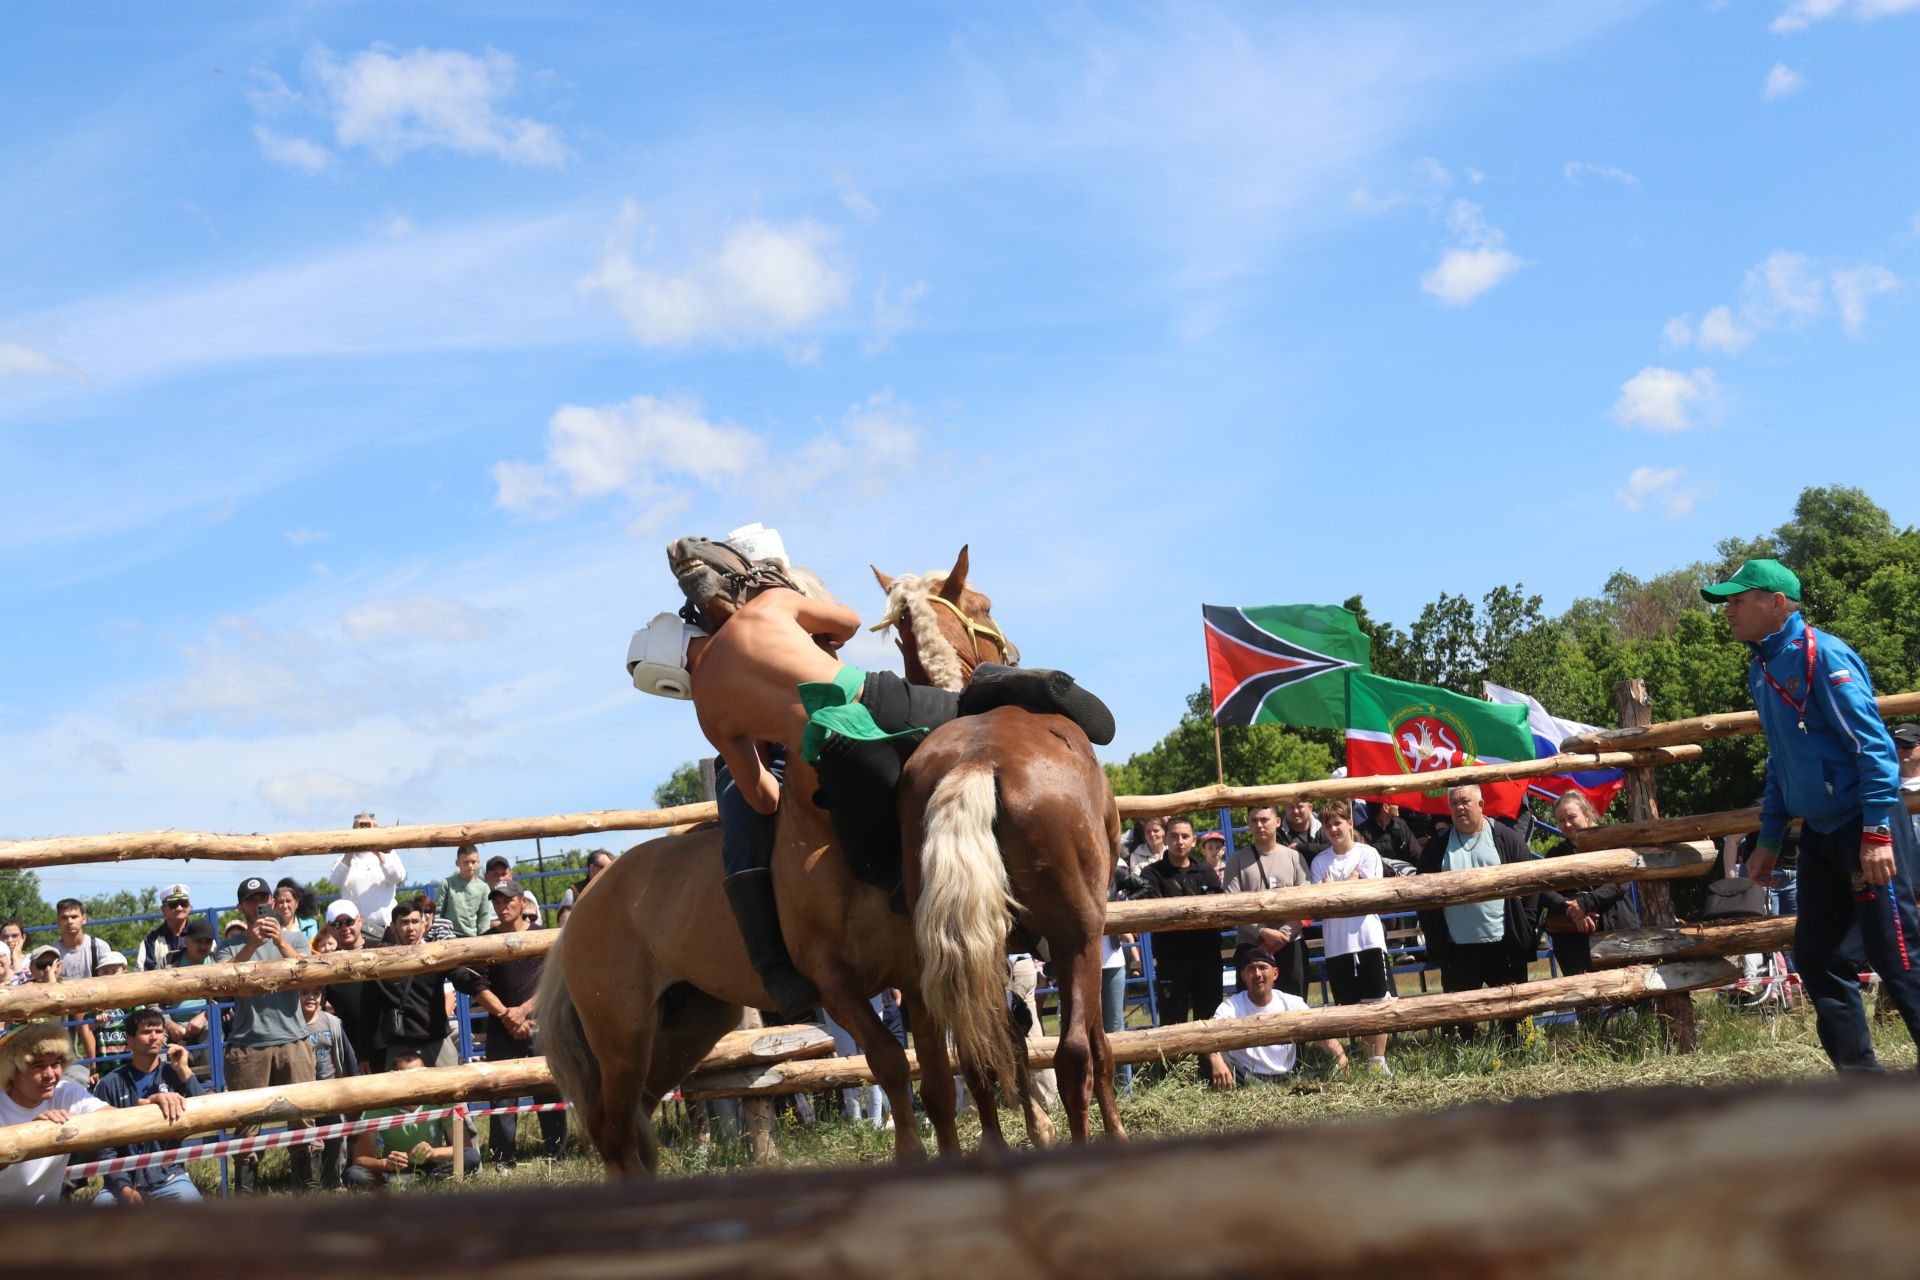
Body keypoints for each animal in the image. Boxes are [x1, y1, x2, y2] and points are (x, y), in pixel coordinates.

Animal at [879, 545, 1128, 1143]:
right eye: (985, 604)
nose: (1012, 649)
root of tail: (976, 761)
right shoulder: (1088, 932)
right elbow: (1099, 1044)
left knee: (976, 1062)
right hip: (1074, 935)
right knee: (1074, 1056)